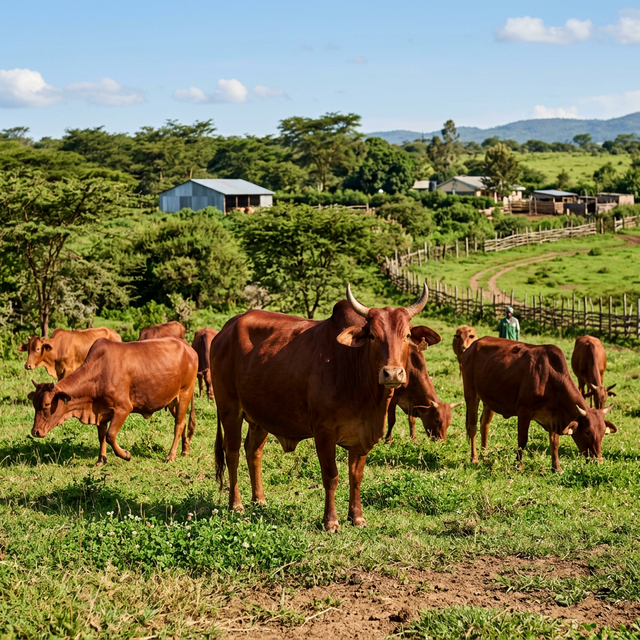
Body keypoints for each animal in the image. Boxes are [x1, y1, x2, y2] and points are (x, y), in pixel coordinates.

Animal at [28, 337, 197, 466]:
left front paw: (126, 455)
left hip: (185, 393)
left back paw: (171, 455)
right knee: (183, 423)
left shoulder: (123, 408)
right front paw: (101, 459)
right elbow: (102, 436)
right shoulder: (100, 412)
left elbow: (110, 435)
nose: (35, 431)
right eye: (34, 404)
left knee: (179, 425)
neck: (98, 373)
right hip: (172, 401)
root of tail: (188, 347)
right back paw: (185, 450)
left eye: (47, 404)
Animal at [211, 285, 441, 532]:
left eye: (407, 335)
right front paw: (331, 521)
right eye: (372, 335)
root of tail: (226, 328)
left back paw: (259, 500)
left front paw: (357, 516)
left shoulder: (361, 436)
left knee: (253, 451)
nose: (392, 374)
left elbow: (356, 476)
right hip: (230, 409)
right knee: (232, 452)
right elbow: (331, 476)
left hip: (260, 415)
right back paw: (236, 504)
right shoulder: (324, 432)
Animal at [461, 336, 618, 473]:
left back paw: (485, 456)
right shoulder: (524, 412)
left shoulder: (554, 417)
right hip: (471, 393)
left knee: (484, 424)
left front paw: (557, 468)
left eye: (602, 432)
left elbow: (554, 442)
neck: (550, 378)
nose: (598, 461)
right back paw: (474, 458)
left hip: (488, 399)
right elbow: (522, 441)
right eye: (587, 431)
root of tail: (472, 346)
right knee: (473, 426)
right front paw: (518, 466)